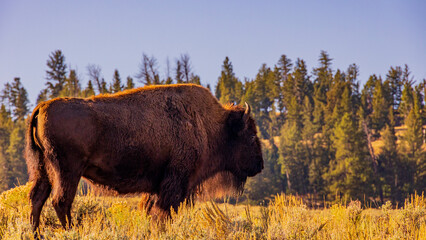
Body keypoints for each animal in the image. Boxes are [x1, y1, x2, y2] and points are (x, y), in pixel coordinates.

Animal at [26, 84, 262, 231]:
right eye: (251, 135)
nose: (259, 165)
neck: (208, 125)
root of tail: (42, 107)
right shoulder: (175, 183)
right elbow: (165, 212)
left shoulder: (158, 187)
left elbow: (151, 211)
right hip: (67, 171)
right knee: (61, 201)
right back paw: (71, 230)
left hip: (43, 170)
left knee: (37, 198)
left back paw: (36, 233)